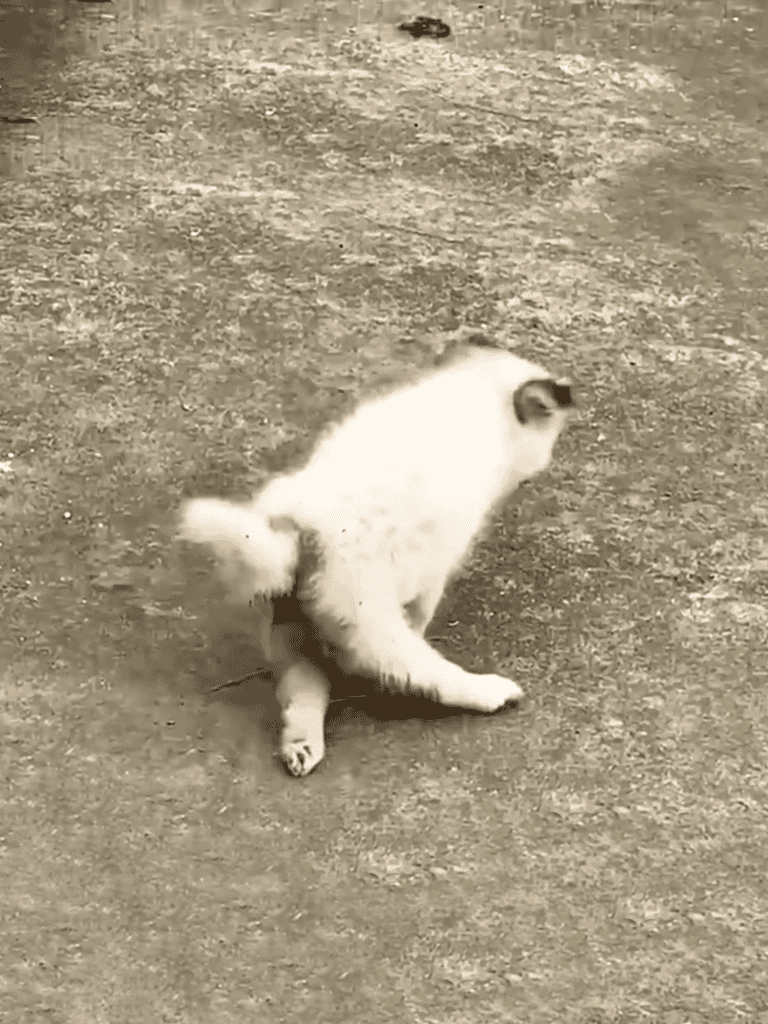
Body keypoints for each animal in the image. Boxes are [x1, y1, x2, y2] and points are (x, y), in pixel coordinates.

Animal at [179, 337, 574, 776]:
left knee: (302, 687)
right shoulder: (434, 561)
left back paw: (302, 745)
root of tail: (301, 532)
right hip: (367, 615)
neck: (475, 390)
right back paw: (486, 691)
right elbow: (421, 612)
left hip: (292, 624)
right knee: (413, 668)